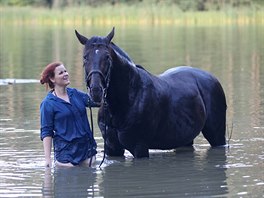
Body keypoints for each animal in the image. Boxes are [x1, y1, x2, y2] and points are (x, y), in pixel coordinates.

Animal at [75, 27, 227, 158]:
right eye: (85, 57)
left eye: (107, 57)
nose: (96, 90)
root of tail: (211, 77)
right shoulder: (112, 148)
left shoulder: (139, 147)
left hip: (217, 137)